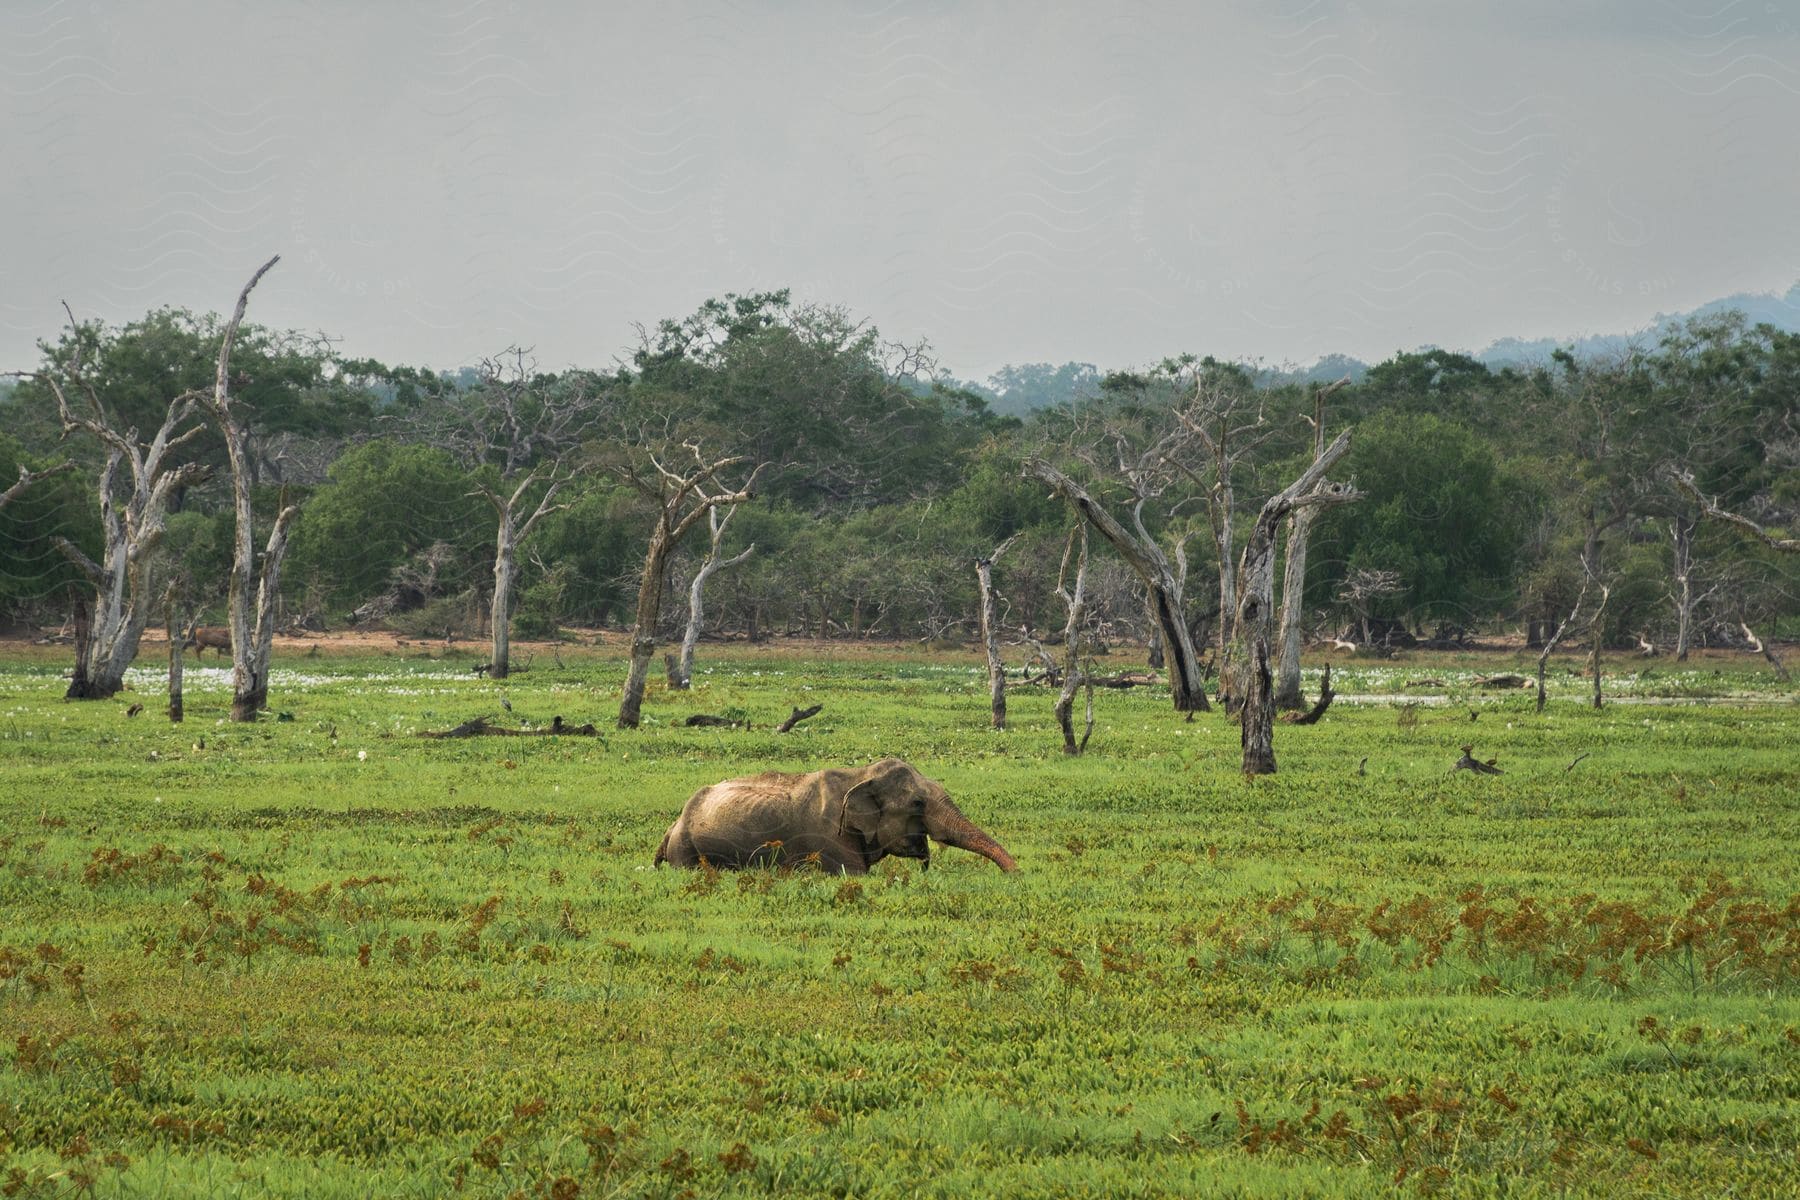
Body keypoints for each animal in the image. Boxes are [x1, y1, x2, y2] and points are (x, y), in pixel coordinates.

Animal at [651, 759, 1022, 874]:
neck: (859, 774)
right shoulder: (829, 840)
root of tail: (672, 827)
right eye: (917, 803)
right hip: (687, 852)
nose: (1018, 876)